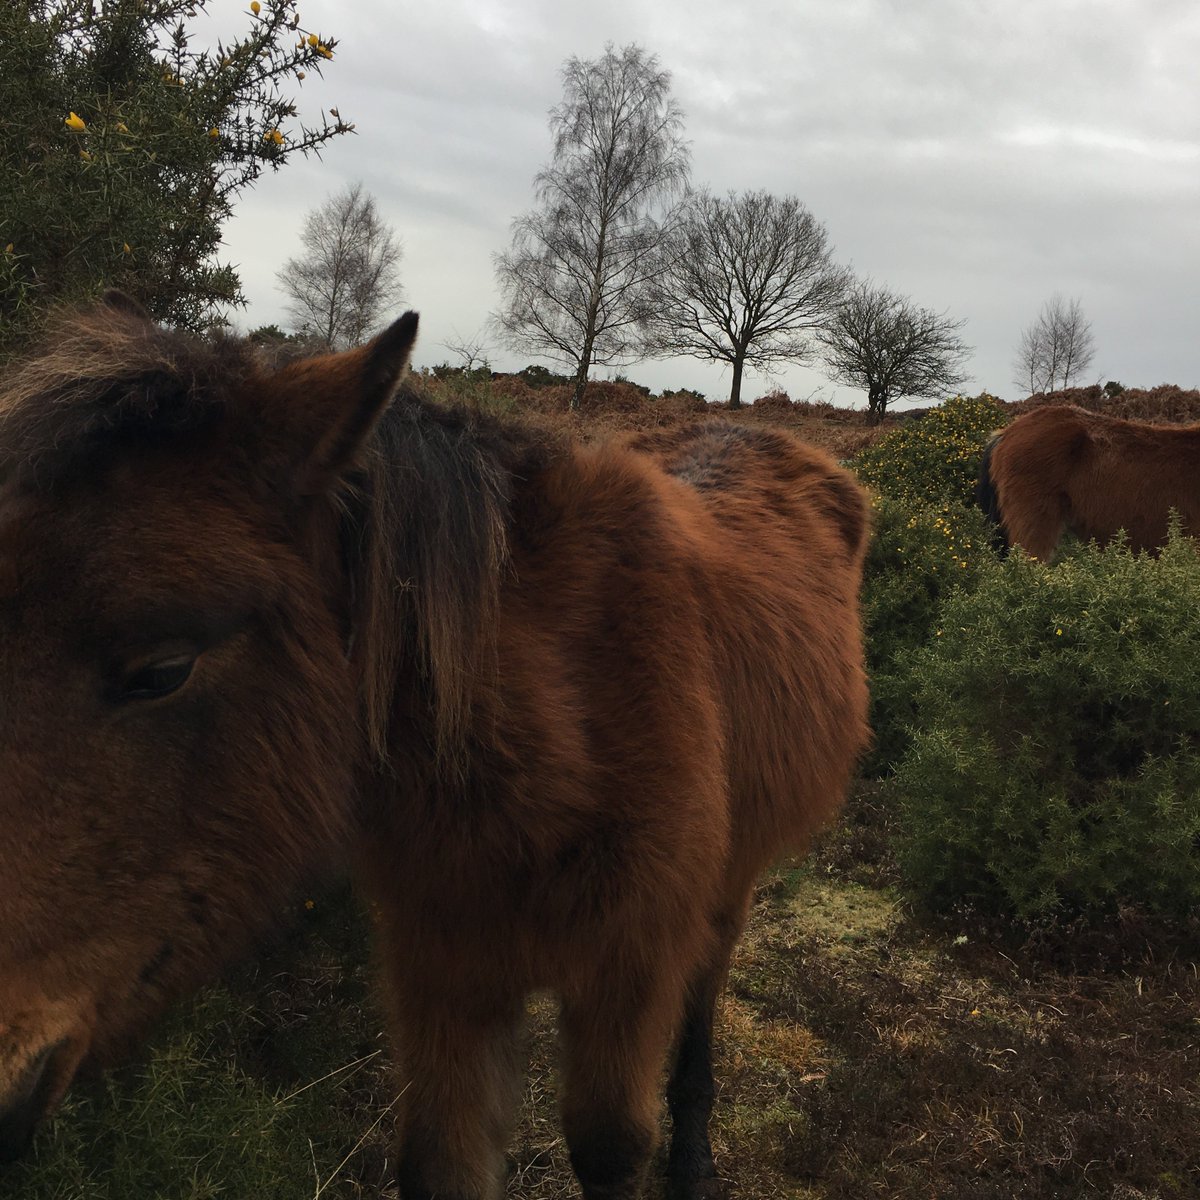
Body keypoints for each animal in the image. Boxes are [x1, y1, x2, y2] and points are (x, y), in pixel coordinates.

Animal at [0, 292, 870, 1199]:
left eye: (163, 670)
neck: (563, 730)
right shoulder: (447, 970)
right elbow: (438, 1162)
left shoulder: (630, 971)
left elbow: (611, 1146)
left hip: (729, 888)